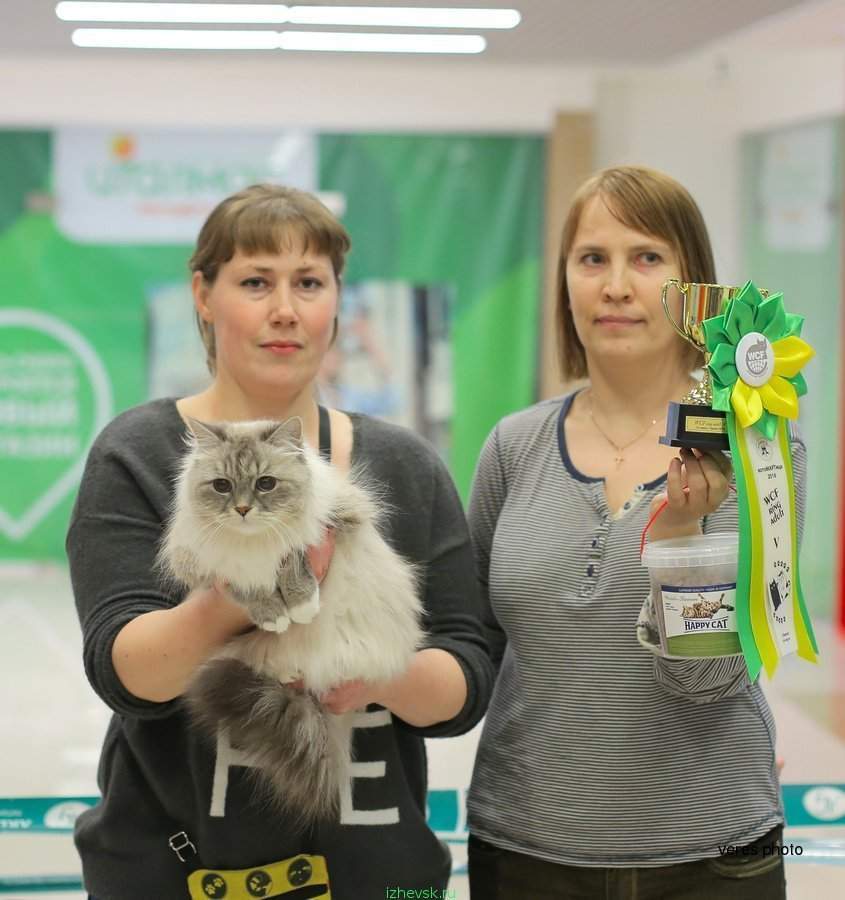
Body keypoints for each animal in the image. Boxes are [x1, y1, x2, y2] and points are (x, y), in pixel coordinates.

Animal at [157, 415, 424, 825]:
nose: (243, 510)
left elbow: (293, 560)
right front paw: (274, 614)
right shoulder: (210, 570)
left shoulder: (328, 527)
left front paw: (300, 605)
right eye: (222, 486)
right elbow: (247, 589)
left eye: (266, 483)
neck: (253, 544)